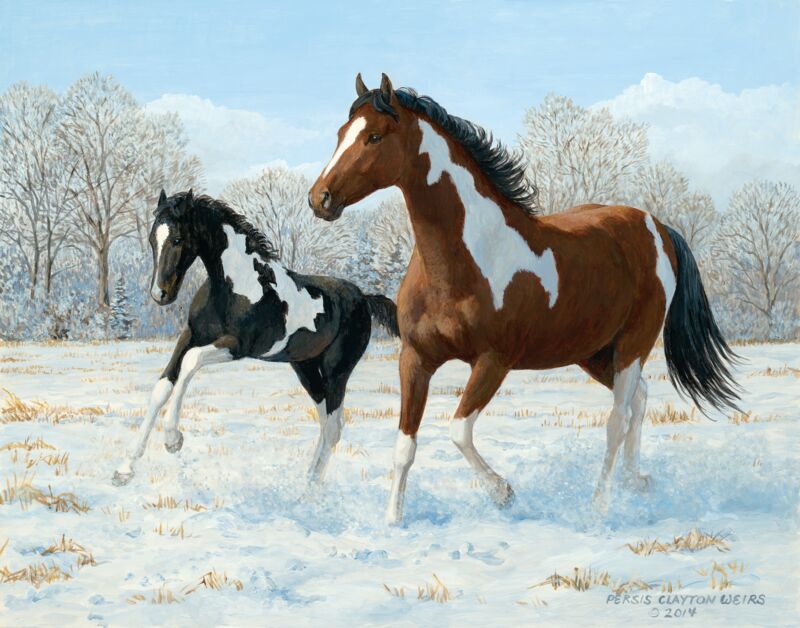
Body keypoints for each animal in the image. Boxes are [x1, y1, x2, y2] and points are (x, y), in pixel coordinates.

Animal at [112, 189, 399, 487]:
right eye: (151, 239)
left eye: (178, 239)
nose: (160, 294)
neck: (233, 286)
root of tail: (364, 298)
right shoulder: (190, 335)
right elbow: (162, 387)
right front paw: (124, 469)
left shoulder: (237, 346)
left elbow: (191, 362)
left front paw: (173, 439)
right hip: (306, 368)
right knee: (327, 423)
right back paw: (308, 479)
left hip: (336, 371)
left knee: (333, 427)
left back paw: (310, 488)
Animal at [308, 73, 740, 525]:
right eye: (341, 134)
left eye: (374, 136)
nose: (320, 198)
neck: (463, 262)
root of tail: (656, 226)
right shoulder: (415, 358)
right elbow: (404, 446)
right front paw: (393, 521)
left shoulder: (494, 361)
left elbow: (458, 430)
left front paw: (503, 493)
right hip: (594, 352)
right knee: (639, 400)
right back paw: (634, 483)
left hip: (633, 345)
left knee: (617, 418)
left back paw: (600, 506)